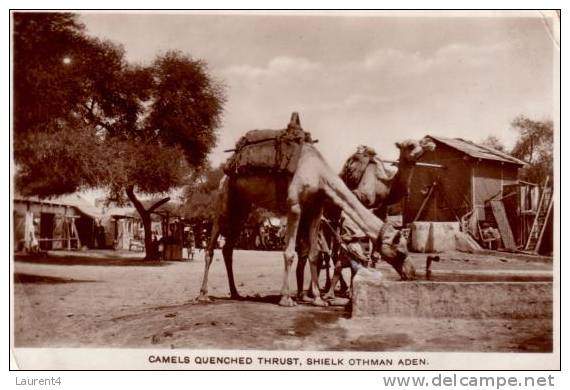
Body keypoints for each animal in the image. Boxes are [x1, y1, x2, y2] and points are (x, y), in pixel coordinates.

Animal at [195, 116, 412, 308]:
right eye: (401, 251)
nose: (411, 273)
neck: (318, 173)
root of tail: (226, 170)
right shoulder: (295, 207)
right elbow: (290, 252)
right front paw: (286, 299)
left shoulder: (315, 210)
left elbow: (315, 255)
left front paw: (318, 299)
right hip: (224, 200)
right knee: (211, 245)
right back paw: (203, 295)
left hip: (242, 207)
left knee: (228, 248)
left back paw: (235, 293)